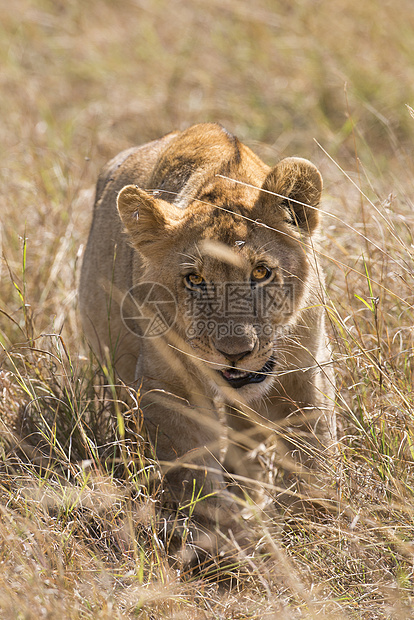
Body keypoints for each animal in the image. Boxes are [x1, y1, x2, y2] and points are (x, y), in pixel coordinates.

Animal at [78, 121, 336, 536]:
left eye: (260, 272)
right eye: (195, 279)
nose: (235, 354)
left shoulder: (304, 372)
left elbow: (312, 456)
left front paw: (313, 523)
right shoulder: (170, 385)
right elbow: (195, 471)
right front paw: (233, 537)